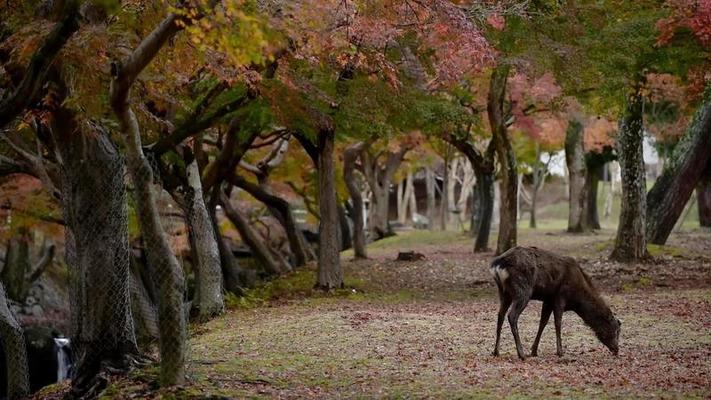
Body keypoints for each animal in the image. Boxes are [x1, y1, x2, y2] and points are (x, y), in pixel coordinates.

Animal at [492, 245, 620, 360]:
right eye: (615, 330)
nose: (616, 350)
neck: (576, 300)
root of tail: (497, 265)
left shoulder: (548, 300)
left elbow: (543, 322)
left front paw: (534, 351)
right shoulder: (560, 296)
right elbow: (558, 323)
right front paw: (560, 352)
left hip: (504, 292)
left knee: (500, 315)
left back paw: (496, 352)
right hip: (523, 290)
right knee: (512, 315)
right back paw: (521, 354)